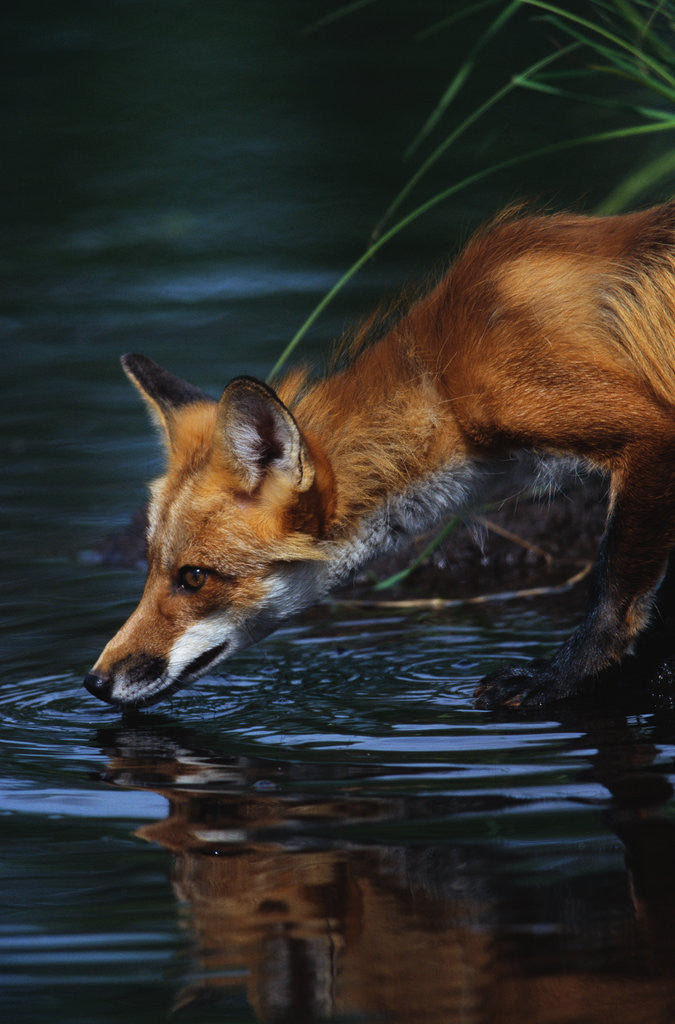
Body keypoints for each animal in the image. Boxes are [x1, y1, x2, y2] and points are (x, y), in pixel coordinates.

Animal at [83, 203, 675, 710]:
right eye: (151, 566)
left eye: (194, 578)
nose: (94, 682)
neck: (446, 379)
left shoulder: (644, 431)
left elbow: (612, 597)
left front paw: (559, 678)